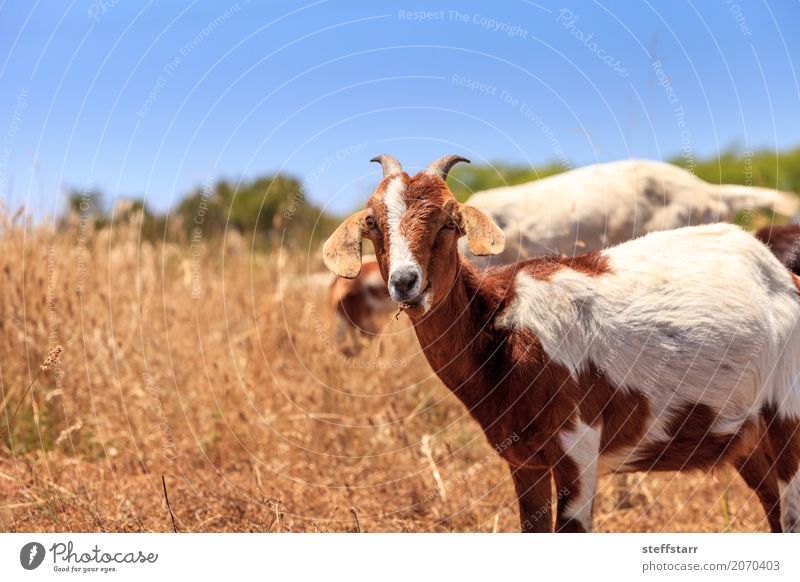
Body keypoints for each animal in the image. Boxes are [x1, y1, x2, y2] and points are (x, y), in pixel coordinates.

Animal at [322, 154, 800, 532]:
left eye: (448, 223)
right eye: (374, 225)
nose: (406, 283)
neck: (503, 325)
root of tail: (782, 276)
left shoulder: (579, 450)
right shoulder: (524, 462)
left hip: (788, 418)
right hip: (747, 440)